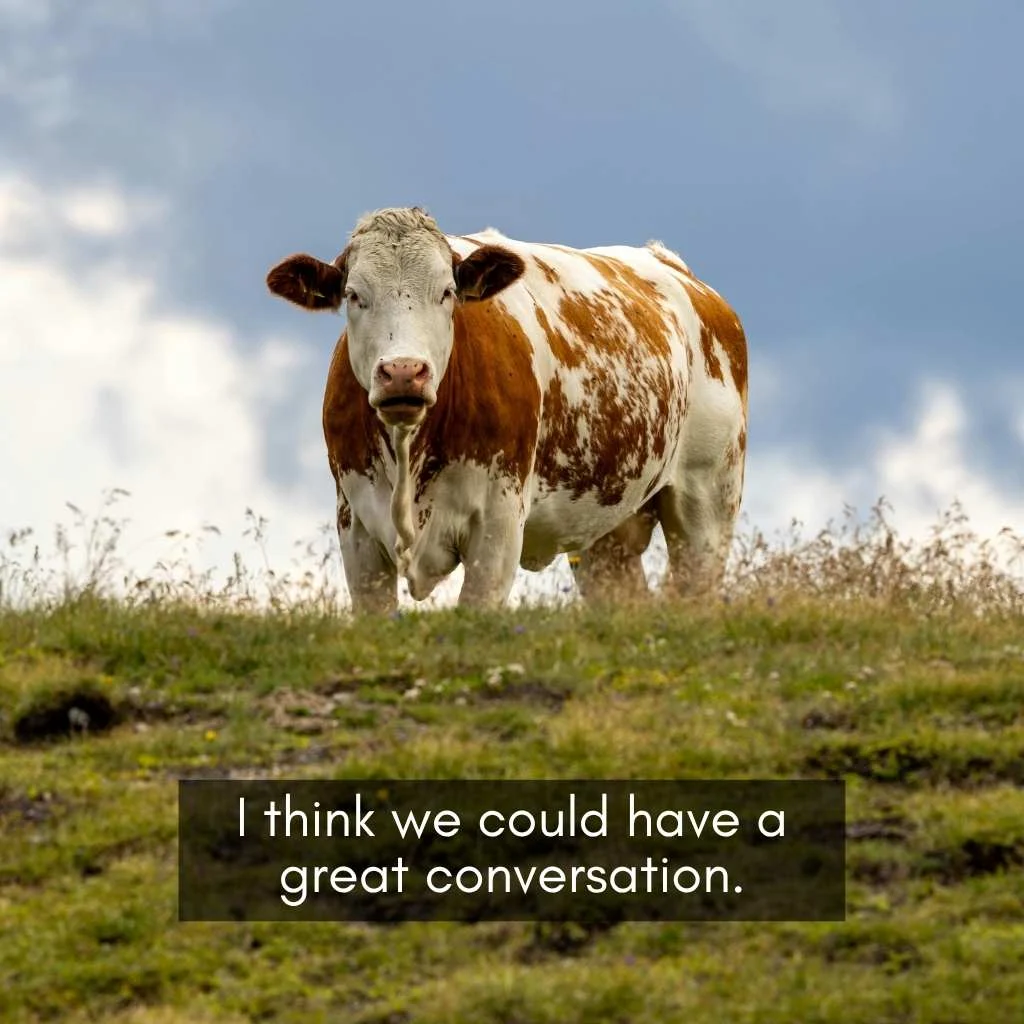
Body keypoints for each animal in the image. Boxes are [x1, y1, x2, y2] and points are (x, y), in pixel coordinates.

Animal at [266, 207, 747, 613]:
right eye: (353, 295)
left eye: (447, 292)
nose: (404, 372)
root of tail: (679, 272)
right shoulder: (357, 528)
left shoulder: (497, 524)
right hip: (606, 528)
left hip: (707, 497)